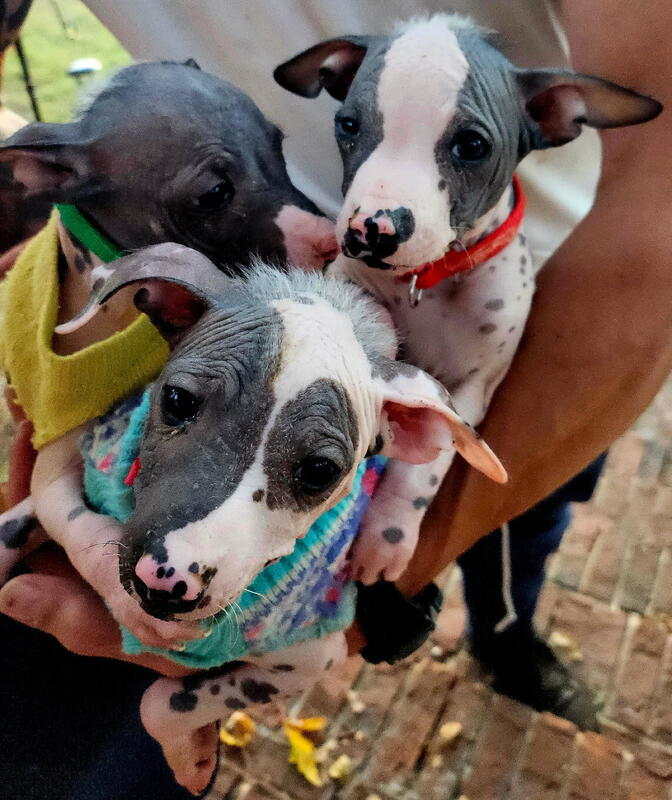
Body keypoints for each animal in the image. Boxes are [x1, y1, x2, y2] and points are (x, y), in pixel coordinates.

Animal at [274, 13, 662, 585]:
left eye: (472, 146)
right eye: (347, 125)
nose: (371, 231)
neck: (431, 281)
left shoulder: (472, 392)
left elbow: (424, 470)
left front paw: (387, 537)